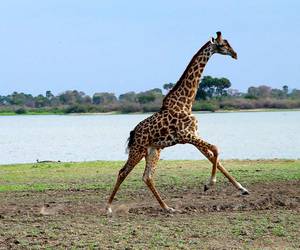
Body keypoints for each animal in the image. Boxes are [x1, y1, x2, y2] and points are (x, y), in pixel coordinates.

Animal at [106, 32, 250, 214]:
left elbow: (214, 157)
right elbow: (216, 149)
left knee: (147, 177)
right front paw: (209, 185)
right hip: (138, 150)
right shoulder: (186, 135)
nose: (235, 54)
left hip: (153, 150)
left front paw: (242, 189)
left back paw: (167, 207)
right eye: (223, 45)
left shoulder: (193, 136)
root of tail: (133, 133)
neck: (185, 103)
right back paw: (108, 207)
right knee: (123, 172)